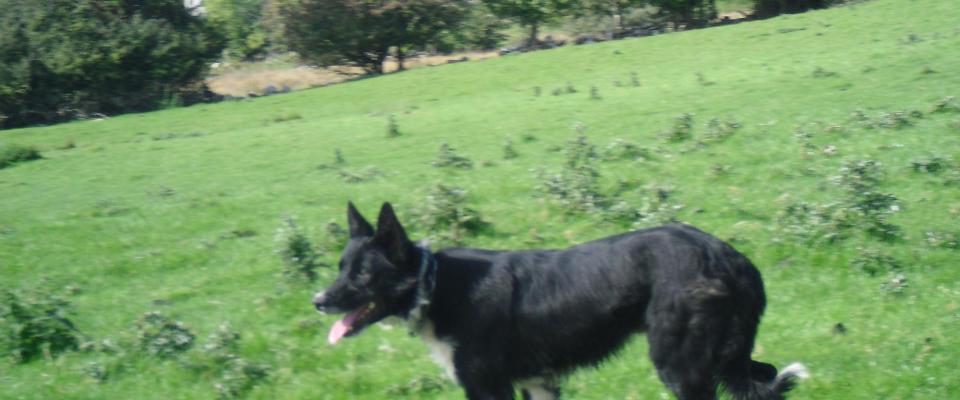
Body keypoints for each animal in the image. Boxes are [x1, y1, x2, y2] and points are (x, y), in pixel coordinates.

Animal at [314, 205, 804, 398]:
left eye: (363, 275)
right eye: (340, 267)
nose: (319, 301)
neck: (433, 286)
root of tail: (727, 255)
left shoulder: (488, 388)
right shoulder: (538, 383)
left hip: (681, 366)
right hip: (726, 356)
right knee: (766, 378)